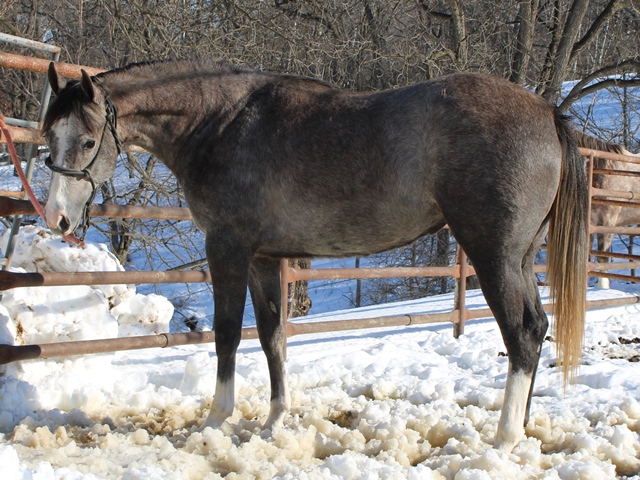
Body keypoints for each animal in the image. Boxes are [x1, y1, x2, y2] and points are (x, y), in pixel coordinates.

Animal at [41, 59, 589, 454]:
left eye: (87, 140)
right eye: (49, 137)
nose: (57, 218)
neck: (219, 125)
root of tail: (545, 112)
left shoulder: (227, 248)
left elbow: (226, 335)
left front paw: (216, 418)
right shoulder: (264, 258)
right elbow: (272, 337)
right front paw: (273, 420)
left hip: (493, 255)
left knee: (521, 334)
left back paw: (504, 439)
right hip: (521, 257)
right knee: (538, 327)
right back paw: (522, 425)